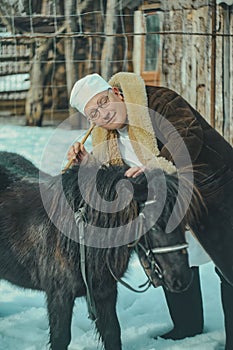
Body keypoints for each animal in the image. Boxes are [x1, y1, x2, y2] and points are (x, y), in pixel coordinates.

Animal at [0, 152, 197, 350]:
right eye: (154, 225)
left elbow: (112, 333)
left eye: (183, 223)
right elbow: (60, 338)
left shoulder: (105, 293)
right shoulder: (59, 296)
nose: (182, 279)